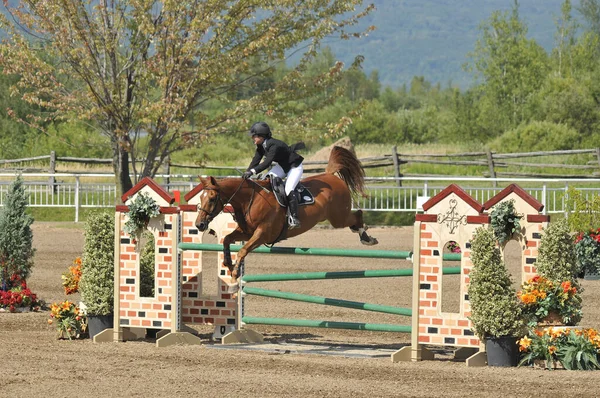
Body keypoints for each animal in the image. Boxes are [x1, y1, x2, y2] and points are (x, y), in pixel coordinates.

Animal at [195, 146, 378, 282]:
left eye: (212, 198)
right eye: (201, 197)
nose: (199, 224)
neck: (251, 199)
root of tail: (330, 174)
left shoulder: (262, 233)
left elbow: (242, 250)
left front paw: (234, 274)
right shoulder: (247, 232)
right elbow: (227, 239)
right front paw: (229, 265)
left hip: (338, 218)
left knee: (357, 215)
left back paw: (367, 239)